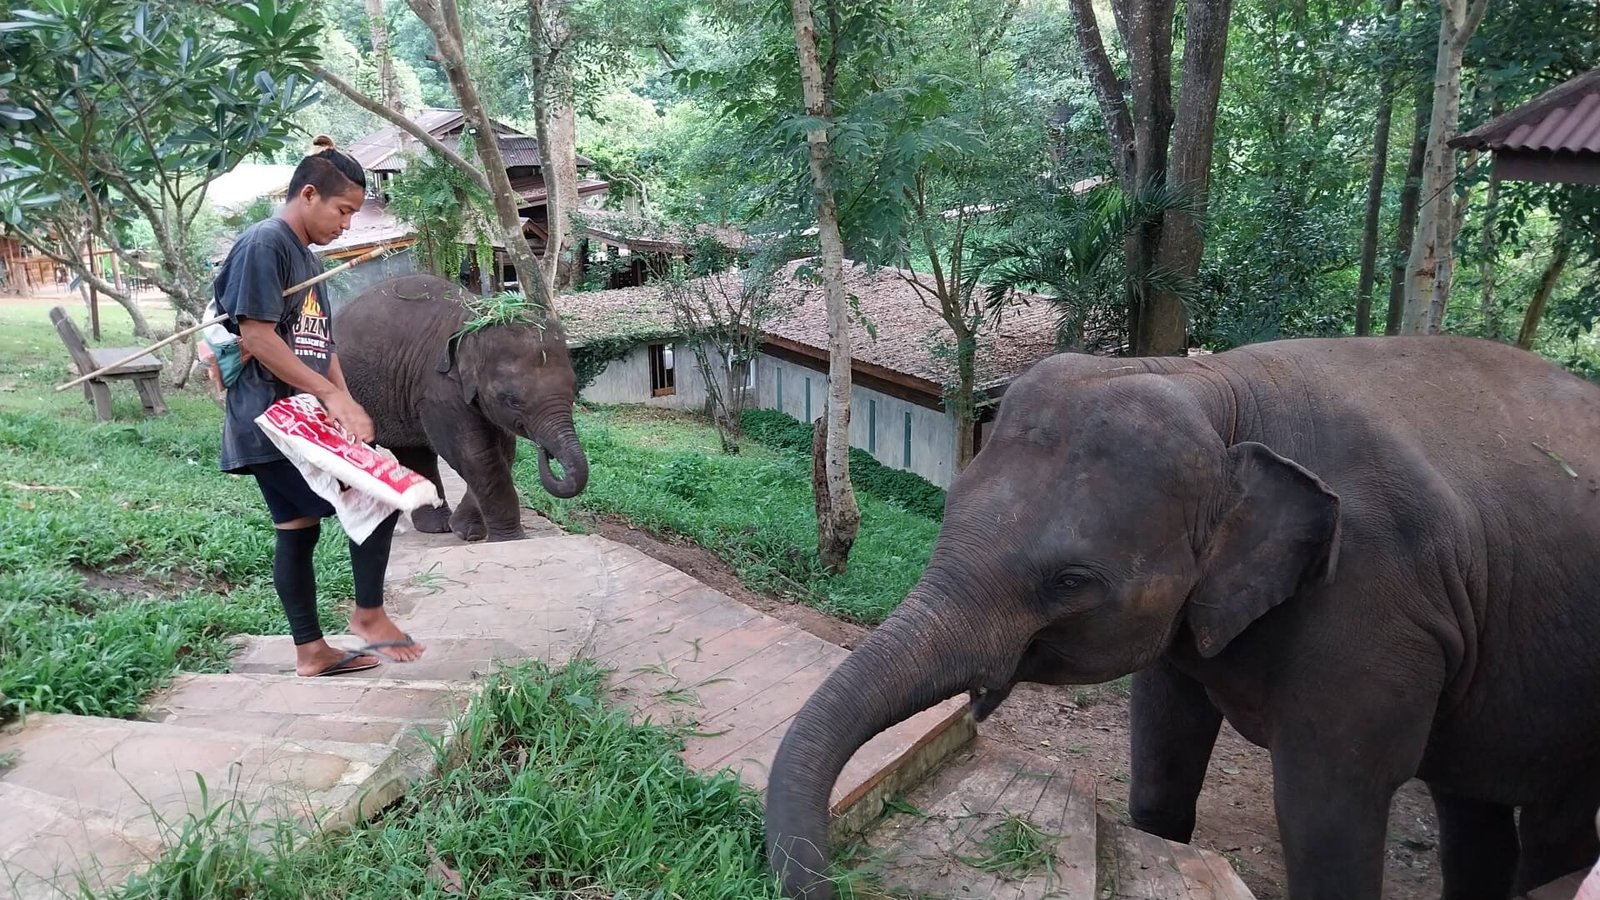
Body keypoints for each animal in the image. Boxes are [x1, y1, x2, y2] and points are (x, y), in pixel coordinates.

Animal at [333, 273, 589, 541]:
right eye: (512, 400)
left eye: (574, 390)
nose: (545, 451)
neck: (476, 319)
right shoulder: (439, 391)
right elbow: (475, 453)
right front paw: (510, 539)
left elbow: (503, 451)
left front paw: (465, 530)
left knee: (415, 453)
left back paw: (436, 527)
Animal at [764, 336, 1600, 900]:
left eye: (1070, 580)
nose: (834, 878)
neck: (1216, 383)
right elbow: (1163, 746)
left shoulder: (1378, 606)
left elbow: (1328, 810)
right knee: (1474, 809)